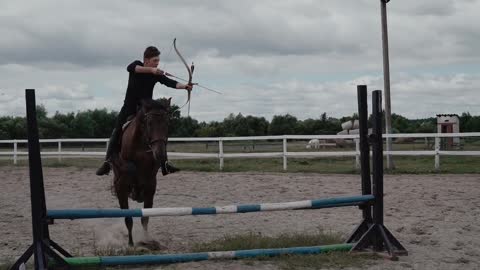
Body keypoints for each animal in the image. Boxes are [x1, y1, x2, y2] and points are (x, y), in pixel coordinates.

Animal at [111, 98, 172, 246]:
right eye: (149, 123)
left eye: (167, 124)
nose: (160, 154)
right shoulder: (122, 187)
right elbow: (128, 219)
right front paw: (131, 244)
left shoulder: (150, 187)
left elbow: (145, 219)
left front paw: (146, 240)